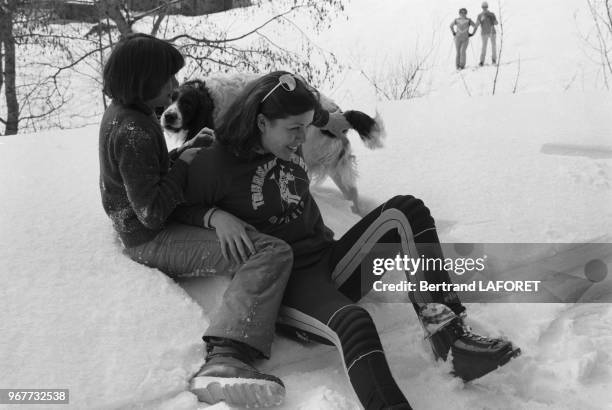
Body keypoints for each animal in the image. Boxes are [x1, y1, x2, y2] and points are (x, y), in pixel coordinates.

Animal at [160, 73, 384, 215]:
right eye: (170, 99)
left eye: (187, 104)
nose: (168, 116)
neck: (210, 99)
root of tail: (341, 115)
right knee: (350, 192)